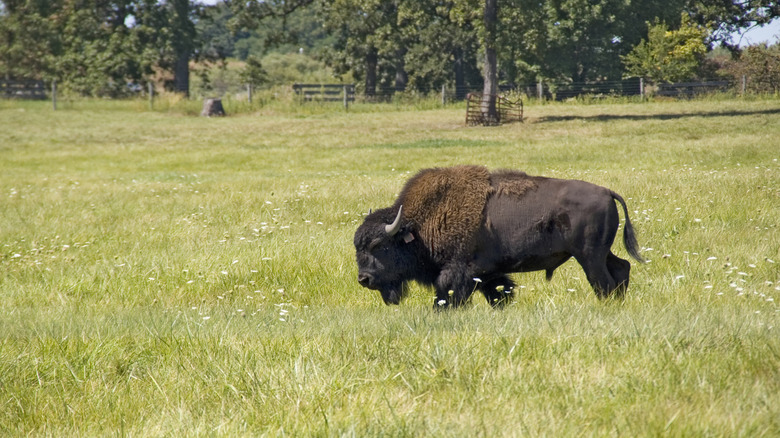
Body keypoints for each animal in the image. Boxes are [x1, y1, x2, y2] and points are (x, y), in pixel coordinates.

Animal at [354, 165, 645, 308]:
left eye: (379, 245)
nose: (363, 279)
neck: (418, 225)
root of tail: (607, 192)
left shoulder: (457, 272)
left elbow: (447, 296)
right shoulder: (487, 274)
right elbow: (499, 293)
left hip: (588, 256)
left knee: (604, 282)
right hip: (601, 253)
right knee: (622, 269)